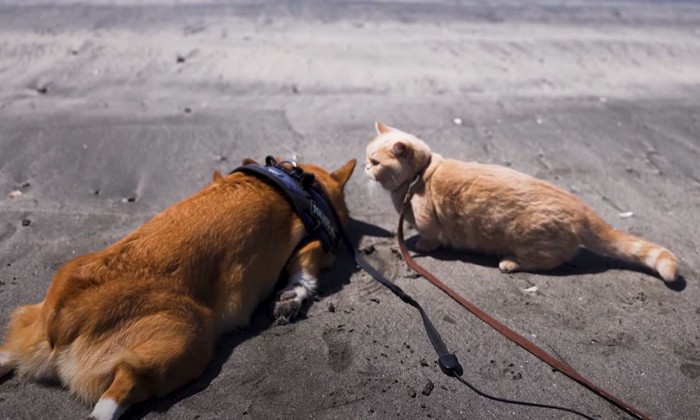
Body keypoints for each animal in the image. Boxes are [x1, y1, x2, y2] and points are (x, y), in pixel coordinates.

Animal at [1, 158, 356, 420]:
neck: (298, 180)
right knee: (122, 387)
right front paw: (290, 300)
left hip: (29, 327)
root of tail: (66, 310)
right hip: (186, 341)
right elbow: (303, 277)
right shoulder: (313, 247)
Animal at [366, 123, 680, 284]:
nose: (366, 169)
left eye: (375, 161)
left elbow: (430, 237)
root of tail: (580, 207)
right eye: (368, 156)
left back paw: (510, 263)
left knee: (550, 261)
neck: (419, 176)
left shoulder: (429, 222)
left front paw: (421, 245)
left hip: (532, 240)